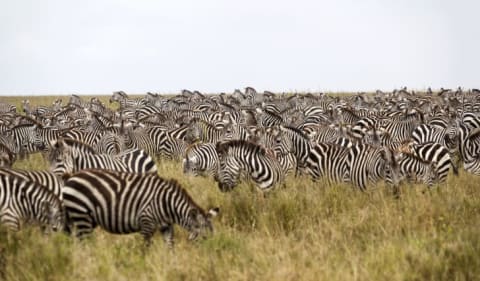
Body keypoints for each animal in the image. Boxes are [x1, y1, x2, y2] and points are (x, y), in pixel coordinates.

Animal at [62, 167, 219, 246]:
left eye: (212, 236)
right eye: (205, 237)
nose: (213, 254)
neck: (167, 203)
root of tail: (71, 176)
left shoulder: (166, 226)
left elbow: (170, 246)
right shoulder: (146, 222)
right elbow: (145, 249)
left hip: (82, 218)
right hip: (81, 215)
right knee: (84, 244)